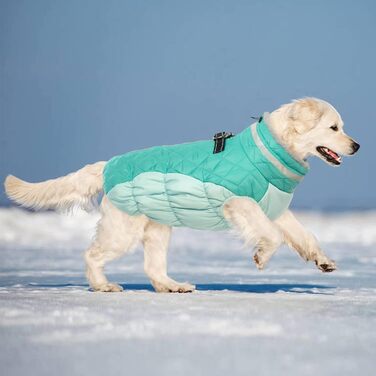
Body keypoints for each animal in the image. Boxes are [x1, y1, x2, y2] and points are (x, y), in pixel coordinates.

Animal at [3, 98, 362, 292]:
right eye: (334, 128)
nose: (357, 145)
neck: (271, 150)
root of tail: (108, 165)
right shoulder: (238, 201)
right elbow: (270, 235)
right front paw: (261, 256)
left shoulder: (275, 208)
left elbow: (304, 234)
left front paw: (323, 261)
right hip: (123, 229)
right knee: (92, 255)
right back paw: (103, 285)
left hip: (158, 228)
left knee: (153, 268)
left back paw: (172, 286)